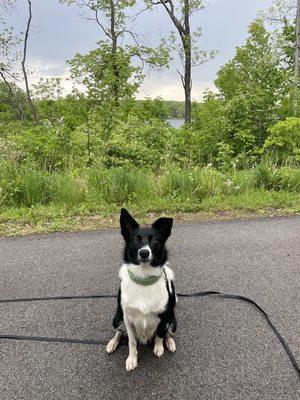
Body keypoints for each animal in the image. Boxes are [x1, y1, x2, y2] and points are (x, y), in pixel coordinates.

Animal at [106, 209, 177, 372]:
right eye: (134, 241)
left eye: (155, 241)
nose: (144, 252)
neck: (144, 280)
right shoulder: (127, 318)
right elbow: (131, 342)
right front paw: (132, 359)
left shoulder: (165, 315)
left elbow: (160, 333)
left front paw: (159, 347)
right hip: (116, 318)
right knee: (119, 331)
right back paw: (112, 342)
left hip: (173, 319)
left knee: (168, 331)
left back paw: (170, 342)